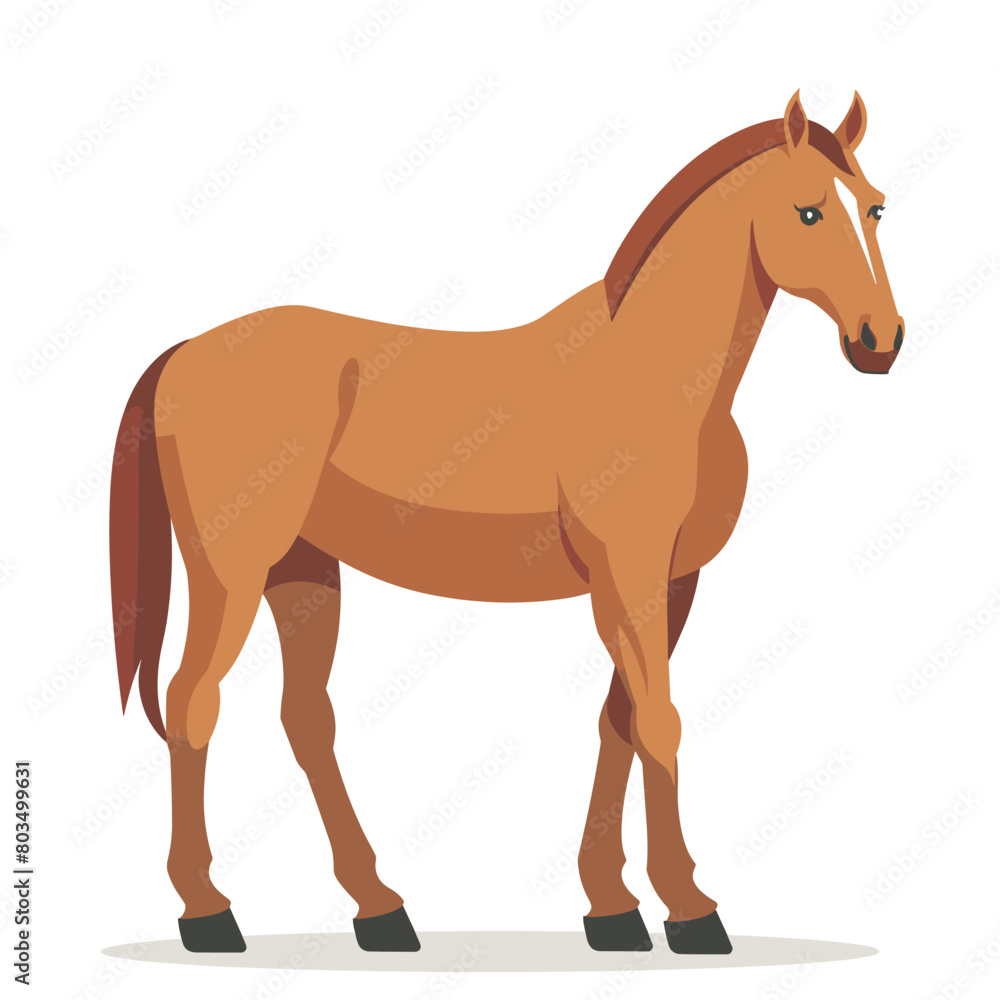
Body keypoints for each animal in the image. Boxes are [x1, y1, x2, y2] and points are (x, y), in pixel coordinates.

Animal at [110, 91, 903, 956]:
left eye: (875, 208)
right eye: (807, 211)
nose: (881, 341)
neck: (656, 376)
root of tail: (188, 351)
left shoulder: (672, 580)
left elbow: (621, 720)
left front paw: (612, 908)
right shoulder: (628, 573)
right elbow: (659, 721)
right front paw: (691, 911)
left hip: (303, 570)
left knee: (305, 718)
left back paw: (380, 909)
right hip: (234, 569)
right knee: (193, 703)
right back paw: (208, 913)